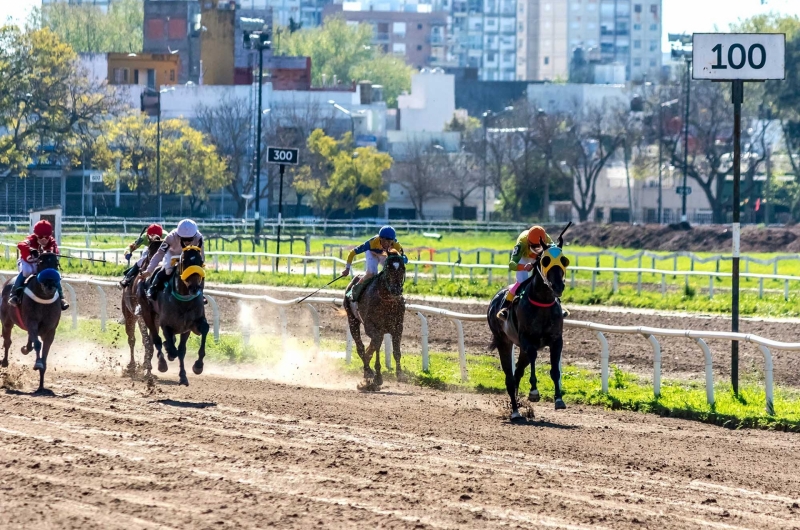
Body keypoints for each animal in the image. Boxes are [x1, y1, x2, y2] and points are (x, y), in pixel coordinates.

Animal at [0, 252, 63, 392]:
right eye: (41, 262)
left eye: (56, 263)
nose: (50, 285)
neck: (44, 298)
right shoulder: (31, 321)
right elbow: (38, 344)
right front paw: (38, 363)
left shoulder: (50, 329)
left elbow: (45, 351)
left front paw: (41, 385)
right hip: (7, 321)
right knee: (7, 340)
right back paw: (5, 361)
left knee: (28, 341)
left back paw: (26, 348)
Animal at [120, 237, 162, 374]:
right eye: (149, 253)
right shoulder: (140, 316)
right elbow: (146, 340)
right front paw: (146, 367)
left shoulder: (157, 318)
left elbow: (152, 340)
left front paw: (147, 366)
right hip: (129, 315)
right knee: (131, 339)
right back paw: (132, 365)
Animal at [139, 245, 211, 386]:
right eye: (184, 261)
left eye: (201, 261)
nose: (194, 287)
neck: (183, 300)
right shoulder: (165, 324)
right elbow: (172, 349)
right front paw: (168, 355)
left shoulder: (190, 325)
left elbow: (184, 348)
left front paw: (196, 367)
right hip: (148, 314)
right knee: (156, 339)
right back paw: (162, 362)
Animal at [342, 250, 406, 390]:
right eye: (388, 268)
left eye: (403, 268)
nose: (396, 289)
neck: (387, 300)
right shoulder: (372, 326)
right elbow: (376, 345)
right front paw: (377, 377)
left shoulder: (398, 326)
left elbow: (396, 351)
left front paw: (400, 374)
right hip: (352, 320)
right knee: (360, 347)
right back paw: (368, 372)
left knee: (368, 349)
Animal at [484, 238, 572, 420]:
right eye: (545, 260)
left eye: (564, 260)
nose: (558, 286)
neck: (542, 302)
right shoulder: (526, 339)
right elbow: (533, 357)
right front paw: (534, 392)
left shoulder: (556, 340)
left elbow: (555, 370)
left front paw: (559, 399)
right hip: (504, 341)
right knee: (510, 378)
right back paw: (515, 412)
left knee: (517, 373)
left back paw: (517, 406)